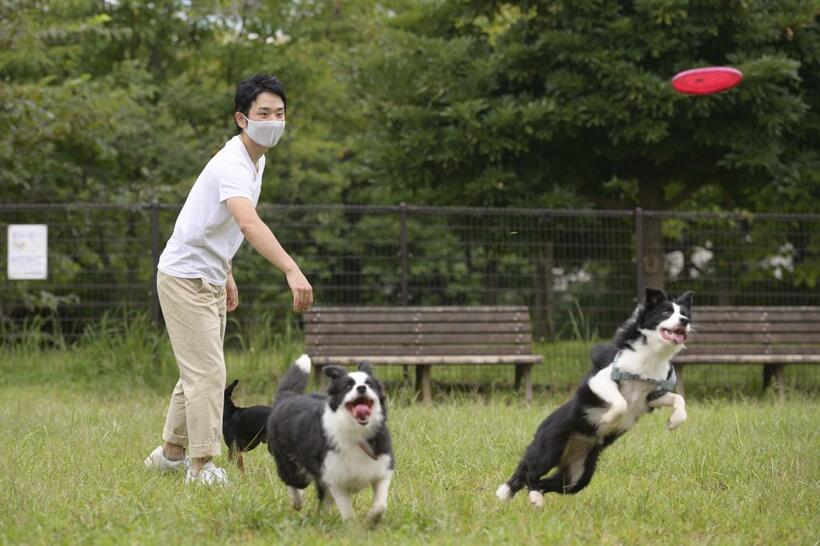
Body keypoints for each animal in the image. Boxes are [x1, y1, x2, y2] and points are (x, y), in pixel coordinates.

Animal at [266, 354, 394, 520]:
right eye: (347, 386)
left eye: (369, 384)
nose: (361, 388)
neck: (356, 432)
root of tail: (287, 397)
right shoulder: (335, 479)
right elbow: (348, 514)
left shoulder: (382, 468)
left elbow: (380, 506)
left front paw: (371, 520)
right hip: (289, 461)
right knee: (293, 481)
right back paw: (297, 501)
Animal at [494, 288, 692, 506]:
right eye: (666, 312)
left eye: (684, 314)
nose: (684, 321)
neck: (651, 356)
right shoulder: (601, 379)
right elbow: (621, 403)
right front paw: (607, 419)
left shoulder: (652, 395)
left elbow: (679, 399)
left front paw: (674, 422)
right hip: (550, 447)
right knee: (530, 472)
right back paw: (530, 496)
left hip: (579, 473)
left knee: (551, 482)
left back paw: (529, 494)